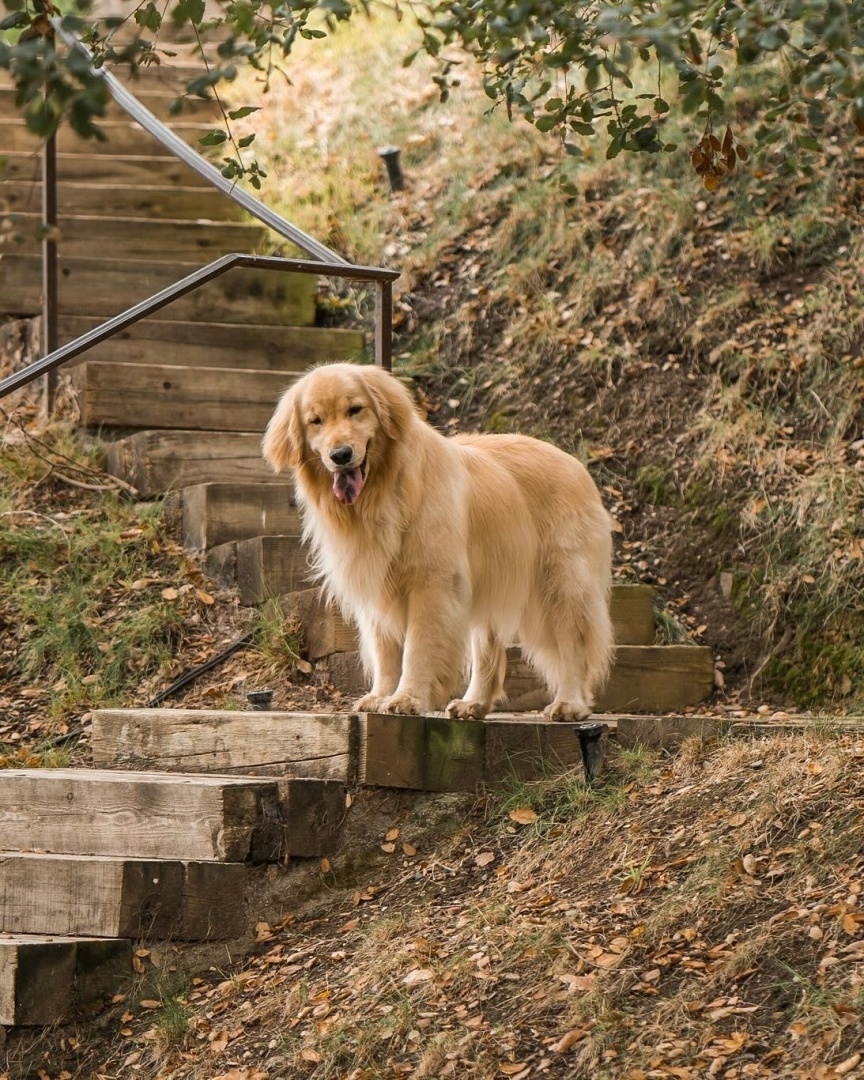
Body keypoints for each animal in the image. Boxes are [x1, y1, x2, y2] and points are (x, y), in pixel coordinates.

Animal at [263, 358, 613, 721]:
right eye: (315, 421)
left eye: (355, 410)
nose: (341, 455)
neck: (383, 493)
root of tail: (576, 463)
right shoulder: (375, 584)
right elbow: (385, 650)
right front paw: (381, 695)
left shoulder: (432, 582)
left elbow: (418, 647)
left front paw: (408, 697)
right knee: (488, 648)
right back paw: (474, 703)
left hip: (560, 585)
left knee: (572, 645)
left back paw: (570, 704)